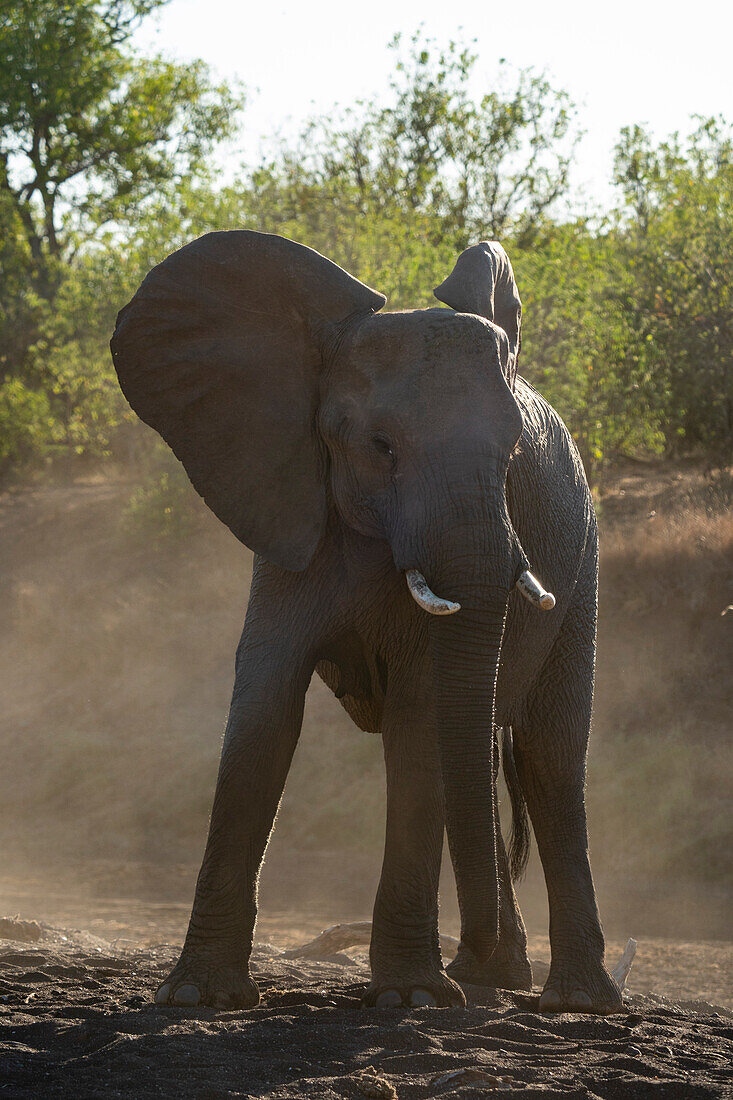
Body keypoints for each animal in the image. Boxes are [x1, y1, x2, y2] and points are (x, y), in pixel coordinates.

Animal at [111, 229, 620, 1012]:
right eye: (381, 447)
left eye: (512, 456)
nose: (463, 963)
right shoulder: (291, 507)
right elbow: (263, 711)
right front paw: (197, 997)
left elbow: (419, 717)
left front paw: (411, 1000)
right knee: (481, 753)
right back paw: (492, 979)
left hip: (584, 559)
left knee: (547, 761)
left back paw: (571, 1002)